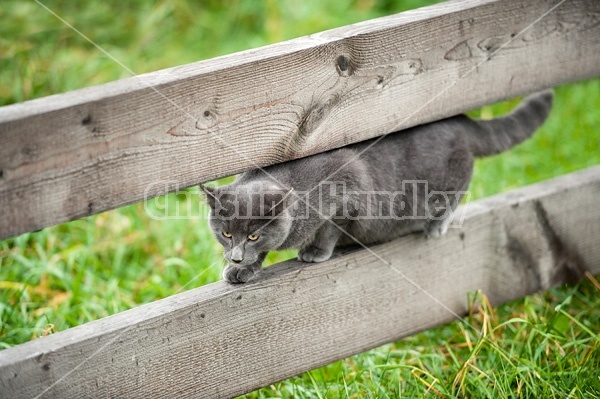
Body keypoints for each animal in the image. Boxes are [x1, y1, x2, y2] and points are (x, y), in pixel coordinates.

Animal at [205, 90, 552, 284]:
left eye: (252, 235)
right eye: (226, 233)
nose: (236, 257)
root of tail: (457, 119)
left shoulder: (348, 191)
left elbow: (330, 228)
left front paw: (315, 251)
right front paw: (243, 270)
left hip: (450, 180)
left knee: (455, 195)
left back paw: (435, 225)